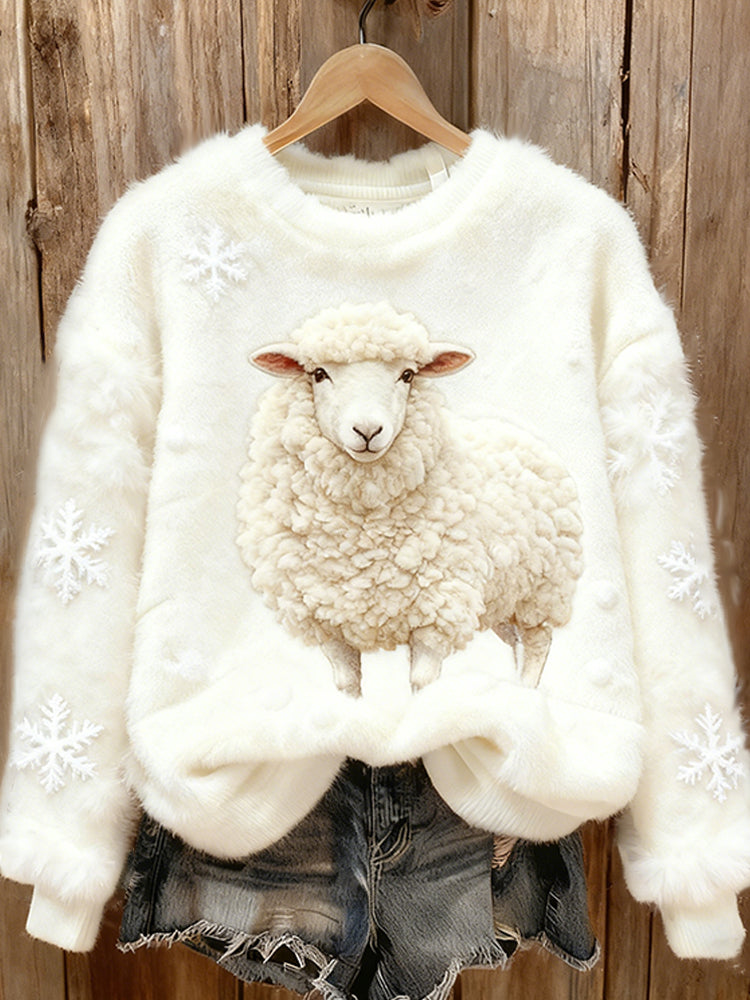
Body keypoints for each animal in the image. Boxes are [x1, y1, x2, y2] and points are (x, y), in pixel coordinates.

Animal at [237, 302, 583, 696]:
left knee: (537, 643)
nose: (367, 431)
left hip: (543, 590)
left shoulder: (438, 609)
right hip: (501, 596)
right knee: (514, 641)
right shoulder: (326, 618)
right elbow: (347, 684)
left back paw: (525, 692)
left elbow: (423, 683)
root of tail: (519, 433)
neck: (365, 524)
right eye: (319, 374)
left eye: (407, 375)